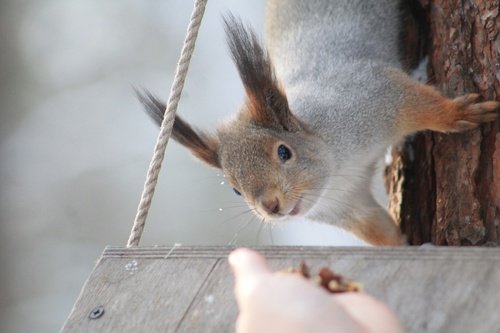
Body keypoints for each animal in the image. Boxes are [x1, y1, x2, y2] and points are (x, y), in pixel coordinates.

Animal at [136, 0, 500, 244]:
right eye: (236, 190)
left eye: (284, 152)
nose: (270, 206)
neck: (336, 164)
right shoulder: (347, 207)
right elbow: (379, 230)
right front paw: (407, 248)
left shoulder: (374, 96)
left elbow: (419, 104)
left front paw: (459, 114)